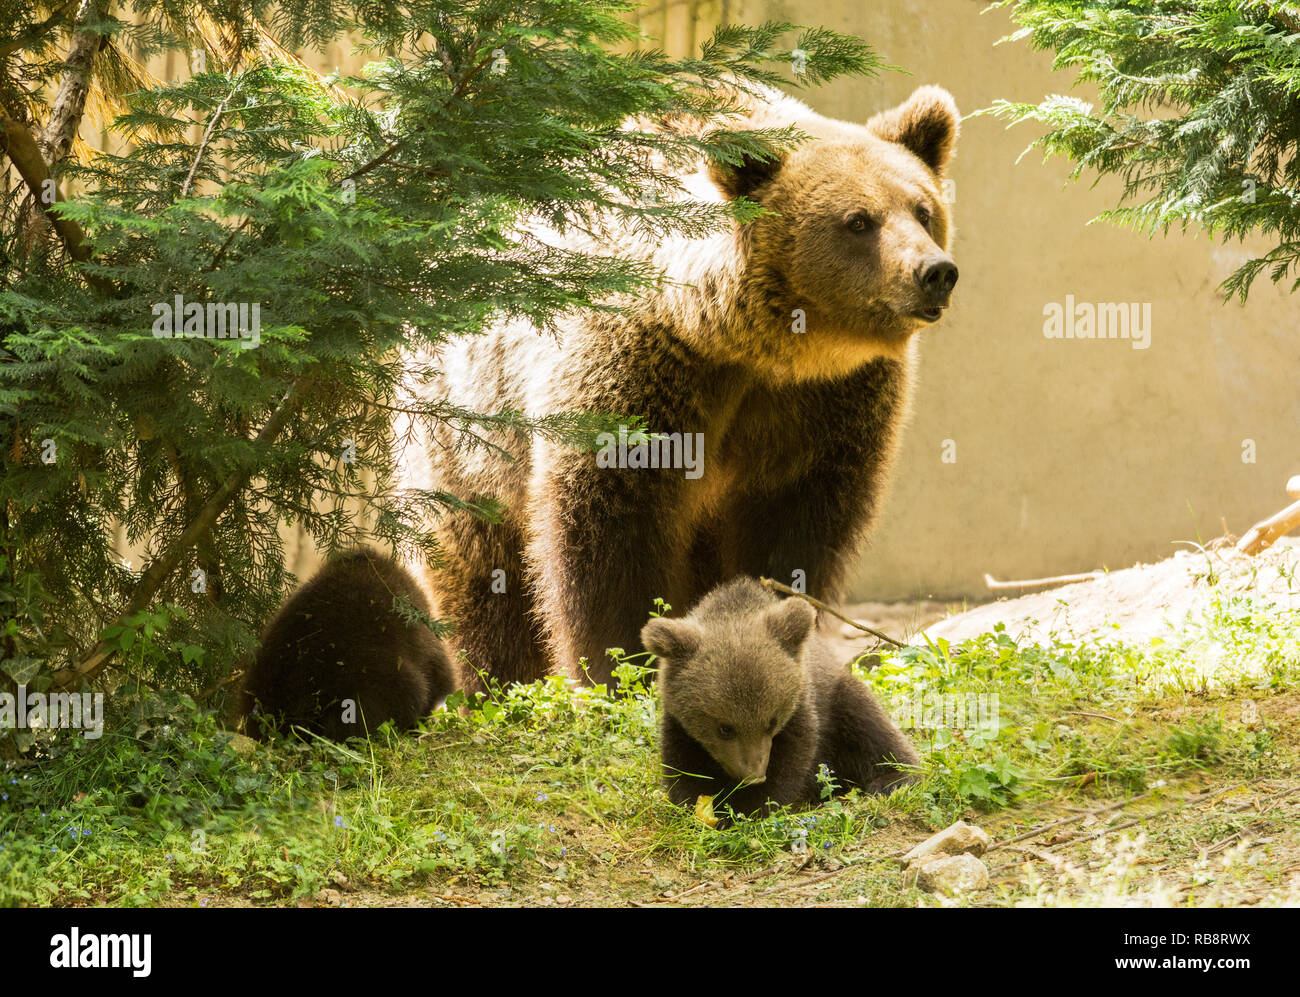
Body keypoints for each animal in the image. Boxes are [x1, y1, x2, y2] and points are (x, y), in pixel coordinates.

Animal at [400, 82, 960, 692]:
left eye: (923, 209)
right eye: (858, 220)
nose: (935, 272)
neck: (754, 348)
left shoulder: (830, 401)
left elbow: (796, 528)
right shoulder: (642, 372)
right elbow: (608, 529)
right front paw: (622, 666)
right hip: (468, 432)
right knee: (479, 569)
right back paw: (491, 679)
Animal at [640, 575, 920, 815]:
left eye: (771, 722)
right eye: (725, 728)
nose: (754, 775)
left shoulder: (801, 709)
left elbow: (789, 764)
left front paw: (747, 807)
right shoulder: (679, 725)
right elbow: (683, 767)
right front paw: (704, 804)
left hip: (840, 700)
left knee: (869, 726)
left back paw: (892, 779)